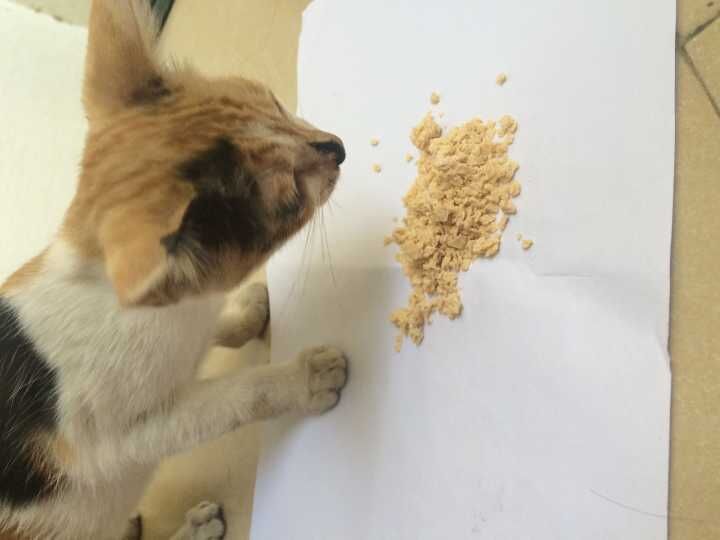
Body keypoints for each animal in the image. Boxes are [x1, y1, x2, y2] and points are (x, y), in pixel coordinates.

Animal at [0, 1, 348, 538]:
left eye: (274, 100)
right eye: (291, 200)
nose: (338, 147)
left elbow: (216, 327)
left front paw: (244, 308)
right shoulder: (123, 439)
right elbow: (232, 399)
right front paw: (305, 378)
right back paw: (195, 527)